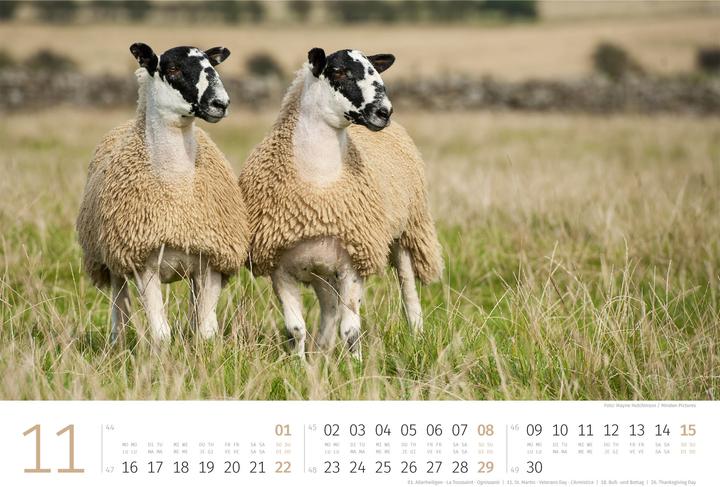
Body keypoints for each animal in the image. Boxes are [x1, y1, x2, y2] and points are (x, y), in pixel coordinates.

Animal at [76, 43, 249, 342]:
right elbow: (161, 333)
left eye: (212, 65)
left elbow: (206, 330)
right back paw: (117, 343)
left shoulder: (212, 262)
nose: (221, 103)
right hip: (112, 260)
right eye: (173, 68)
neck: (177, 187)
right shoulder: (143, 263)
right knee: (119, 303)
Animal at [239, 47, 442, 358]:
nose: (384, 112)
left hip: (407, 231)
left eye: (375, 70)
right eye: (338, 72)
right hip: (321, 267)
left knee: (408, 291)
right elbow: (296, 329)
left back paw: (417, 337)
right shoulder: (279, 267)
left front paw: (355, 364)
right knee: (329, 307)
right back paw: (322, 350)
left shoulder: (354, 262)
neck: (320, 185)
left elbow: (351, 330)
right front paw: (299, 364)